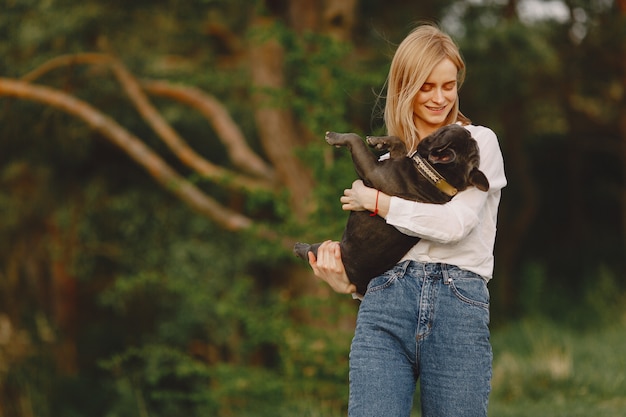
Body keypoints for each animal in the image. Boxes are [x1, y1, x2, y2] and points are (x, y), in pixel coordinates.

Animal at [294, 124, 490, 296]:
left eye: (444, 131)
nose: (465, 128)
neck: (436, 176)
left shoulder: (372, 170)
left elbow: (355, 138)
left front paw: (335, 137)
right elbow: (399, 142)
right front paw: (378, 141)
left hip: (329, 251)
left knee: (310, 252)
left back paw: (300, 247)